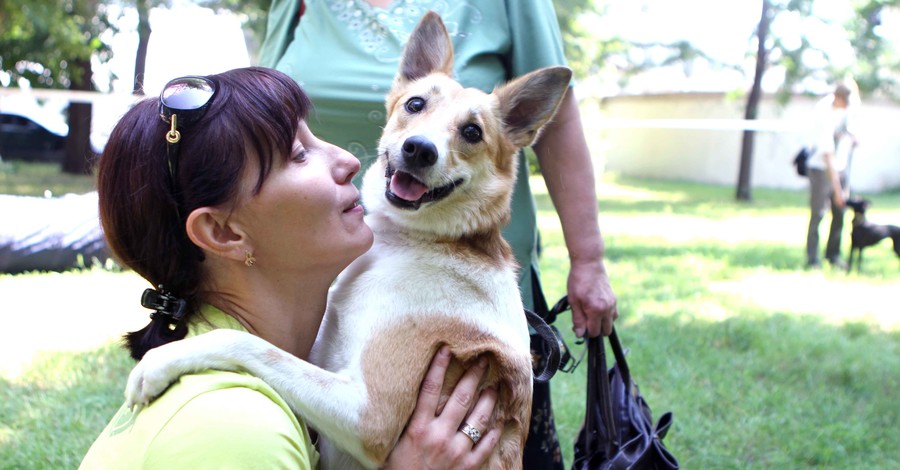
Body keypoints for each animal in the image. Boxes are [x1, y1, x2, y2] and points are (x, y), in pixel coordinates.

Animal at [124, 11, 572, 470]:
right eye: (415, 105)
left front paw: (162, 362)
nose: (419, 149)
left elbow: (250, 343)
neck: (407, 242)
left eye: (471, 132)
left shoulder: (370, 416)